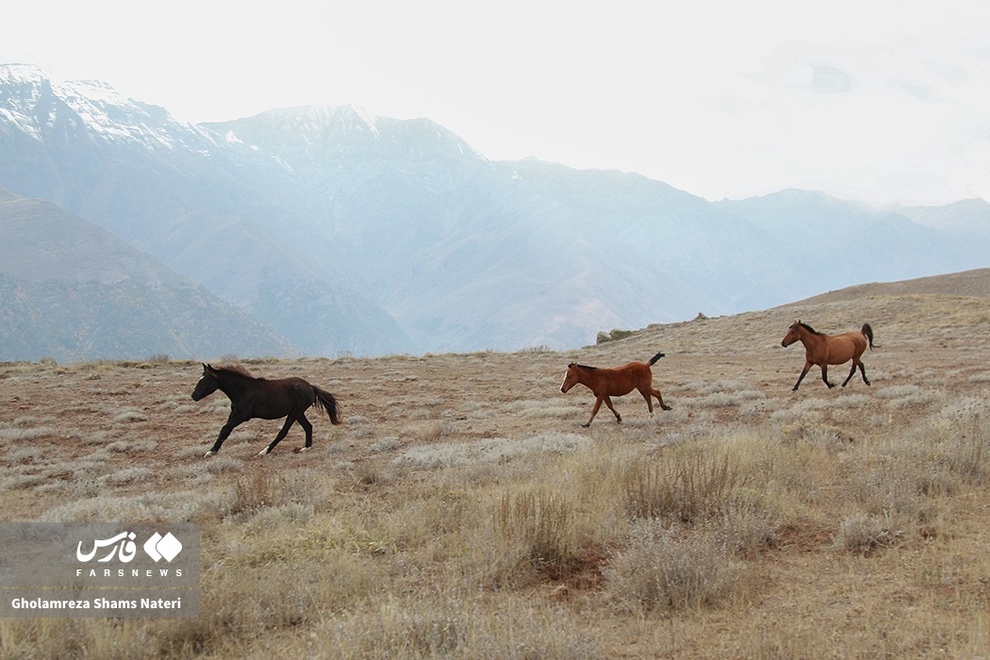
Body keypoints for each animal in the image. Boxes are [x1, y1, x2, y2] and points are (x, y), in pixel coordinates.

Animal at [192, 364, 342, 456]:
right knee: (308, 427)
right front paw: (213, 450)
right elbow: (225, 430)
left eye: (205, 380)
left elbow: (225, 428)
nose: (193, 396)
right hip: (298, 413)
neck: (242, 390)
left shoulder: (243, 416)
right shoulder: (234, 413)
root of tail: (311, 387)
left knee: (283, 432)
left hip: (294, 413)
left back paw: (265, 451)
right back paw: (305, 447)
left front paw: (211, 451)